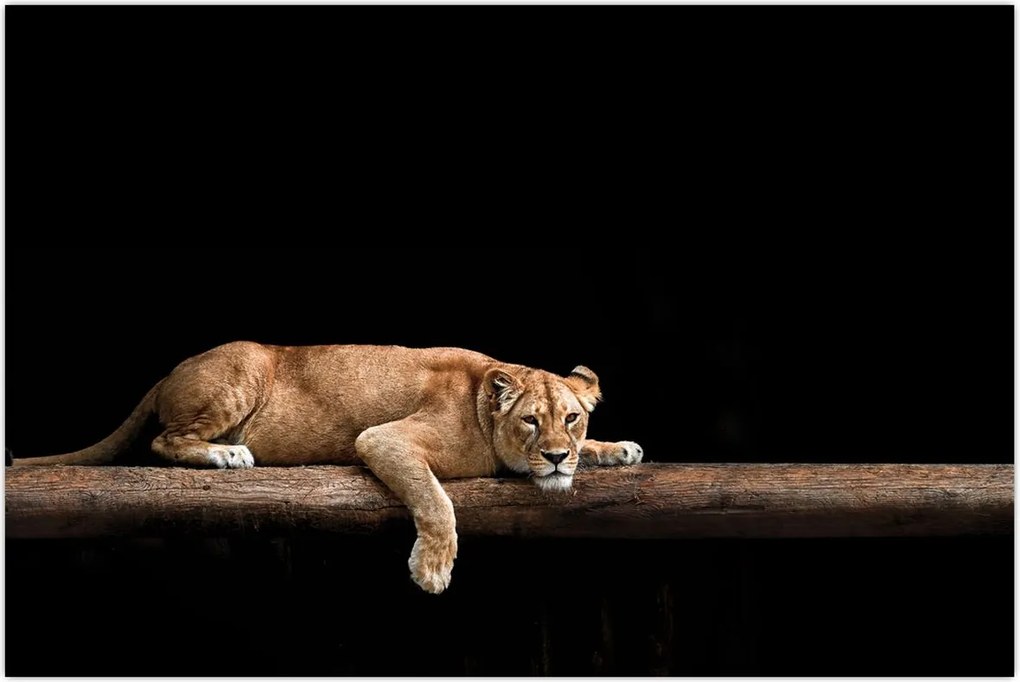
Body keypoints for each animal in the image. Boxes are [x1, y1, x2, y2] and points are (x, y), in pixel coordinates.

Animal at [13, 342, 643, 593]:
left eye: (571, 419)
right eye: (532, 422)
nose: (557, 456)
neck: (483, 400)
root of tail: (170, 371)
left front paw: (617, 448)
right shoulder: (384, 440)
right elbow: (436, 501)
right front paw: (433, 569)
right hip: (241, 373)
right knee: (164, 442)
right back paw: (227, 453)